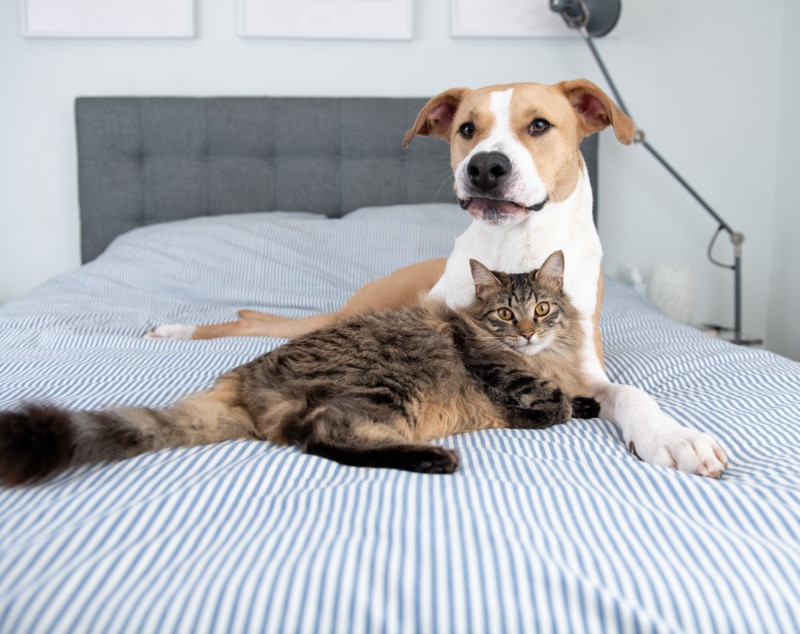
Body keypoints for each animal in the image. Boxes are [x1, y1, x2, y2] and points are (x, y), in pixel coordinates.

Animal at [0, 249, 596, 482]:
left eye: (543, 309)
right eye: (505, 315)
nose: (528, 332)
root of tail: (241, 378)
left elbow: (578, 398)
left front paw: (587, 400)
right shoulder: (506, 377)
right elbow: (555, 406)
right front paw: (565, 403)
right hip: (385, 390)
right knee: (320, 435)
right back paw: (434, 459)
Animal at [150, 78, 732, 474]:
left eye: (539, 125)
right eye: (466, 129)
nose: (485, 166)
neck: (515, 248)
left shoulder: (582, 368)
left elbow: (629, 393)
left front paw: (672, 436)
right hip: (348, 318)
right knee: (255, 325)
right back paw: (174, 330)